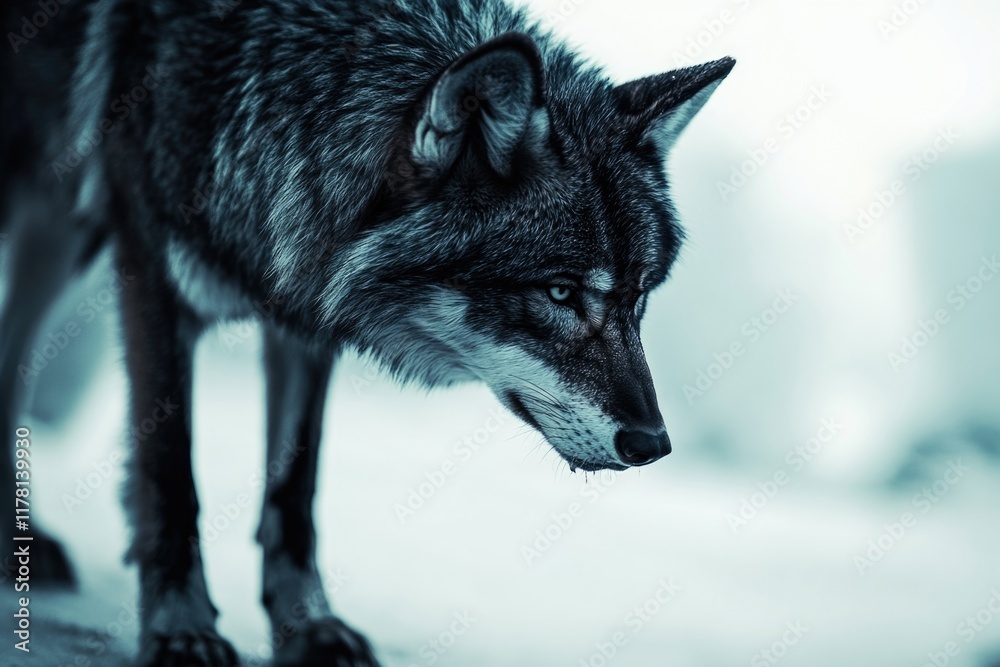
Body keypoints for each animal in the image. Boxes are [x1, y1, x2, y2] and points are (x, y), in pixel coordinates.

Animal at [1, 0, 733, 664]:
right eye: (560, 292)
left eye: (640, 297)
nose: (653, 445)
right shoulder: (152, 270)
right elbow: (169, 473)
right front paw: (182, 630)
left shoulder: (303, 311)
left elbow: (295, 491)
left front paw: (309, 627)